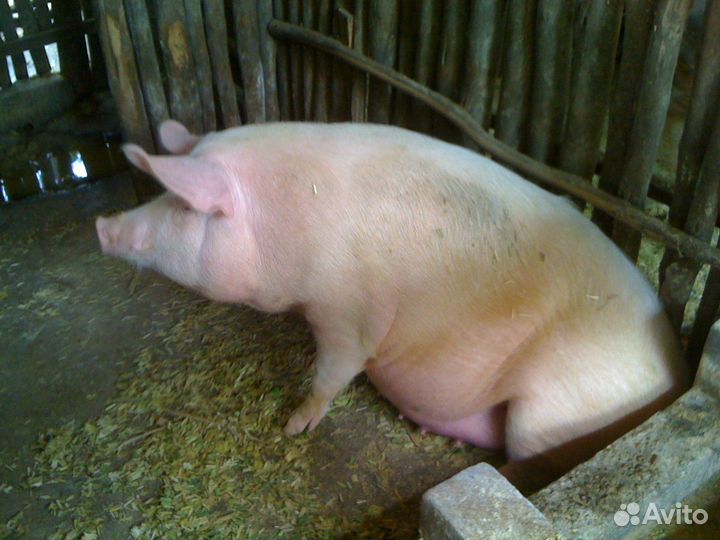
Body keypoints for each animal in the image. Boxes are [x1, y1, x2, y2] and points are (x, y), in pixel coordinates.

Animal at [96, 120, 688, 492]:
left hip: (550, 409)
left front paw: (293, 426)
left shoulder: (348, 314)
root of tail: (675, 375)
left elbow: (333, 372)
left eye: (182, 205)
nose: (103, 225)